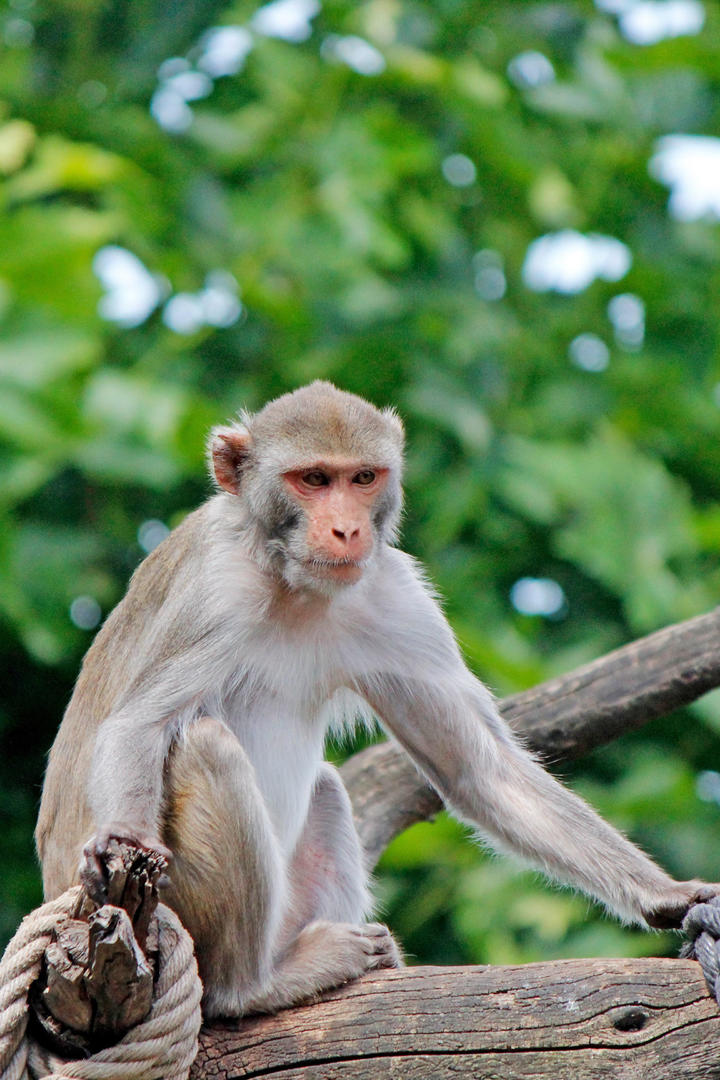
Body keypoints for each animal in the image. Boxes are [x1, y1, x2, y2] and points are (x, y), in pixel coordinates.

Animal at [36, 382, 716, 1019]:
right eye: (313, 479)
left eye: (362, 478)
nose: (347, 528)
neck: (289, 580)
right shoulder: (215, 590)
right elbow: (138, 725)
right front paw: (121, 836)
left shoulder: (393, 594)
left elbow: (477, 769)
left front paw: (669, 896)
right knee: (205, 746)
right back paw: (251, 987)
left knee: (325, 788)